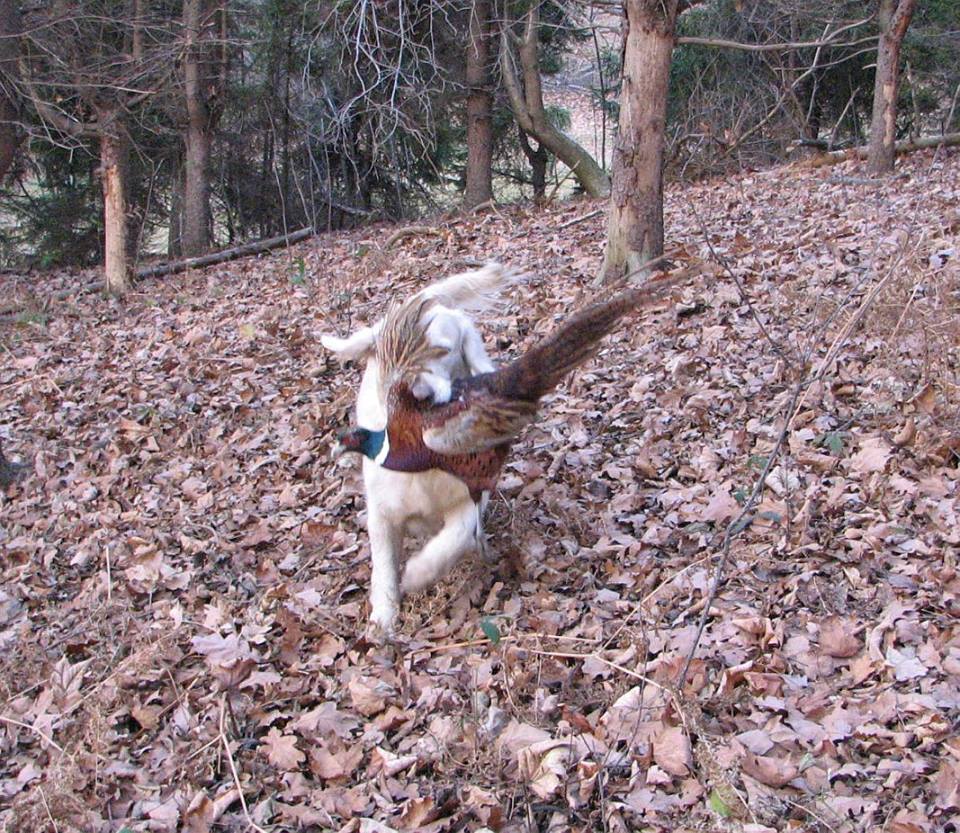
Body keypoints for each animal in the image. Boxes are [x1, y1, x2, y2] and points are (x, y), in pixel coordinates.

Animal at [322, 263, 515, 637]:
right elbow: (384, 566)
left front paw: (421, 570)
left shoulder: (471, 494)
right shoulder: (382, 513)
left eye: (446, 349)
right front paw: (384, 616)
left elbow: (455, 536)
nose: (419, 393)